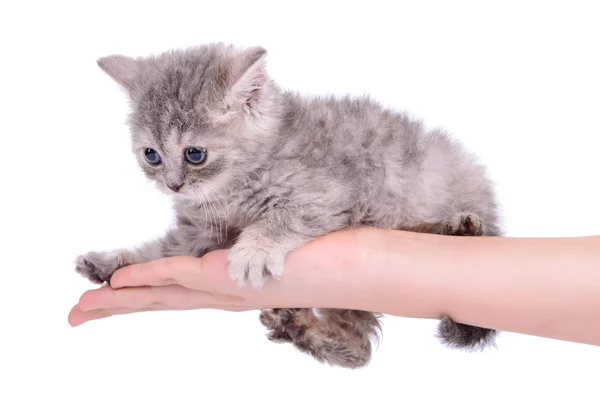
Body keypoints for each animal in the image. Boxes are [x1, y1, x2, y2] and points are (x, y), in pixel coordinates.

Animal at [75, 42, 502, 368]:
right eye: (151, 155)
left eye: (194, 154)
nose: (173, 185)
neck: (233, 187)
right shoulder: (197, 233)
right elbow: (161, 251)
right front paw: (114, 261)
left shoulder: (328, 195)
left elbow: (281, 217)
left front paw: (255, 251)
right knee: (359, 347)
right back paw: (300, 329)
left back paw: (457, 229)